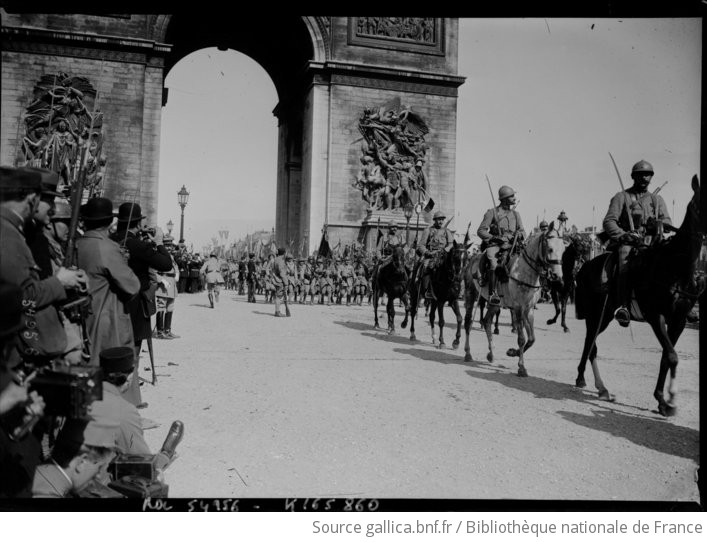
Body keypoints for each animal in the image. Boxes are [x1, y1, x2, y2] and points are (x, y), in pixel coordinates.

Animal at [464, 223, 564, 376]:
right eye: (550, 248)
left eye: (563, 250)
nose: (557, 276)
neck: (525, 272)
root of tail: (472, 260)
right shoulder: (518, 308)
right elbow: (522, 339)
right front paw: (521, 367)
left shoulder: (528, 309)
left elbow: (532, 339)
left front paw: (512, 352)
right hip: (471, 294)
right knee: (468, 322)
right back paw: (468, 353)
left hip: (494, 303)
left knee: (487, 321)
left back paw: (491, 354)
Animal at [576, 176, 704, 418]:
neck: (673, 267)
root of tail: (585, 266)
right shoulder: (656, 316)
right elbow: (672, 356)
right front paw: (671, 400)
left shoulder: (679, 321)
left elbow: (666, 357)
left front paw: (662, 400)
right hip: (596, 316)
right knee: (590, 344)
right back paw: (589, 382)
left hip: (605, 316)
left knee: (591, 344)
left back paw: (598, 386)